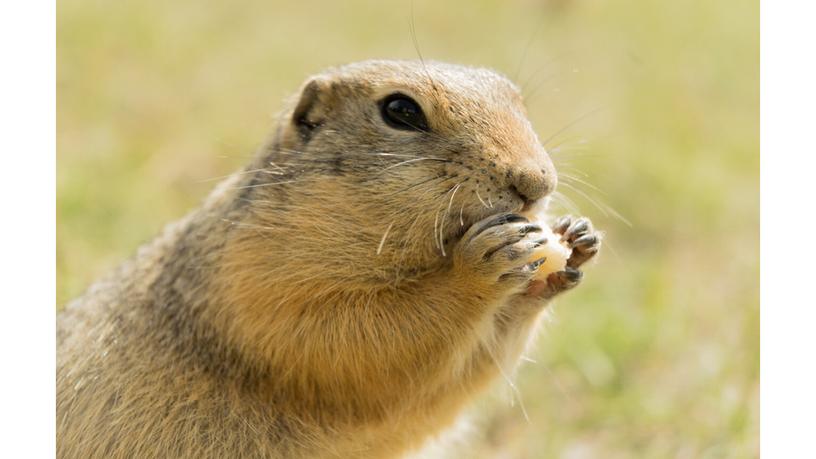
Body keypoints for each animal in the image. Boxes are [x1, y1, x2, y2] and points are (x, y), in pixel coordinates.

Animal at [57, 61, 604, 459]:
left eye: (518, 100)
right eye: (400, 110)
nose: (537, 183)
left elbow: (454, 380)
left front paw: (574, 241)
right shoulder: (251, 275)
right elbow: (348, 339)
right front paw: (478, 266)